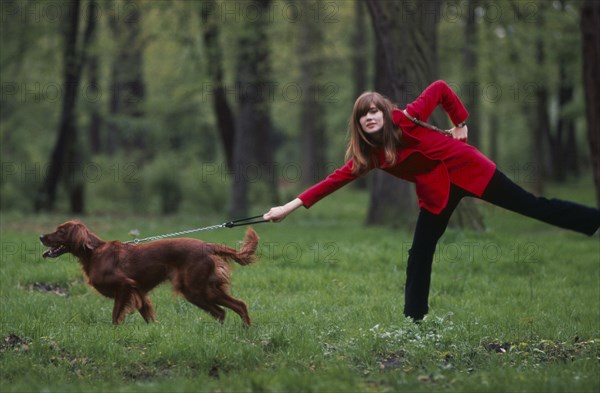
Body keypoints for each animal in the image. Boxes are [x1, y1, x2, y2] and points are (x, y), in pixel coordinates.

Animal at [39, 220, 260, 324]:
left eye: (60, 231)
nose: (41, 236)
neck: (94, 253)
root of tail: (207, 245)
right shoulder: (139, 292)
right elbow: (148, 316)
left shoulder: (125, 286)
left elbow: (115, 316)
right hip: (203, 288)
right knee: (230, 308)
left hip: (195, 289)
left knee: (228, 308)